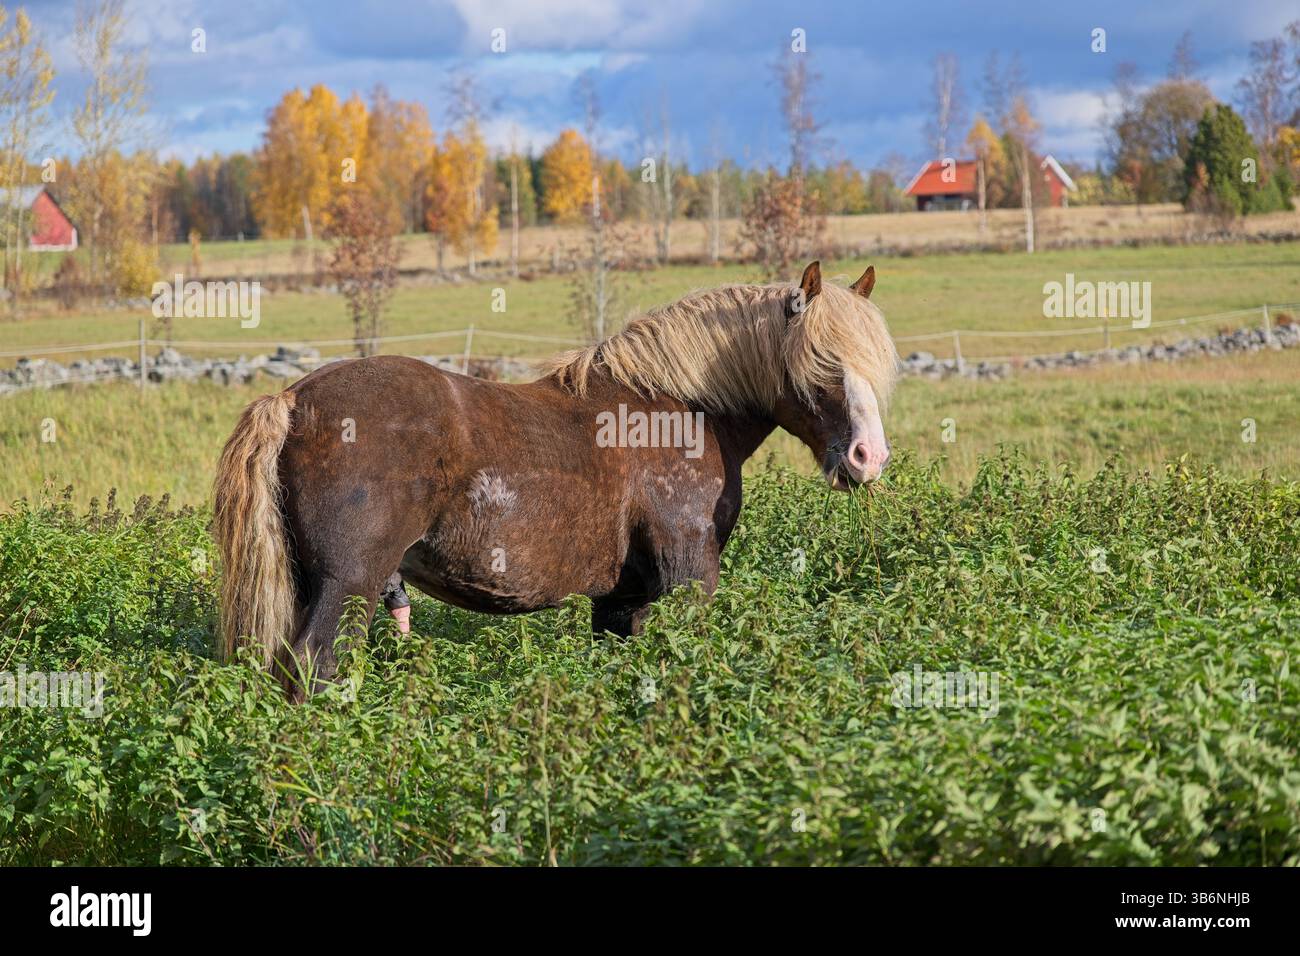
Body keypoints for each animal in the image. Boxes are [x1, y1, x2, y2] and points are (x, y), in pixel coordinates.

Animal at [213, 261, 898, 700]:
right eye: (821, 361)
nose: (868, 457)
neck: (678, 406)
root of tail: (292, 401)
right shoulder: (688, 577)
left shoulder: (622, 598)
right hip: (347, 585)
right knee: (313, 669)